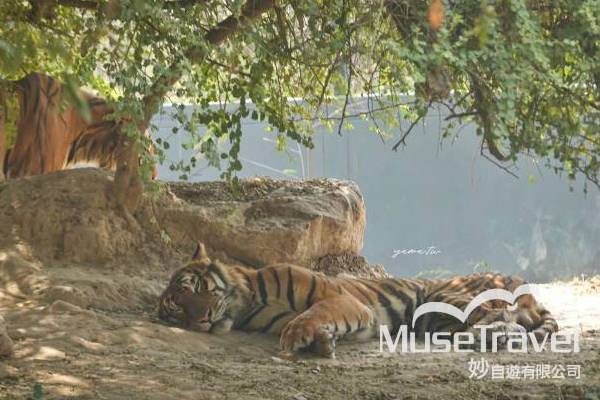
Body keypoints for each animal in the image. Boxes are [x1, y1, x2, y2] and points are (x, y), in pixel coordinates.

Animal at [157, 242, 558, 358]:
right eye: (177, 313)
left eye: (196, 289)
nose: (202, 319)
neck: (249, 304)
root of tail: (524, 283)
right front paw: (322, 342)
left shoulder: (340, 299)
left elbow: (312, 313)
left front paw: (301, 337)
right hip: (434, 321)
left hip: (453, 297)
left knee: (504, 322)